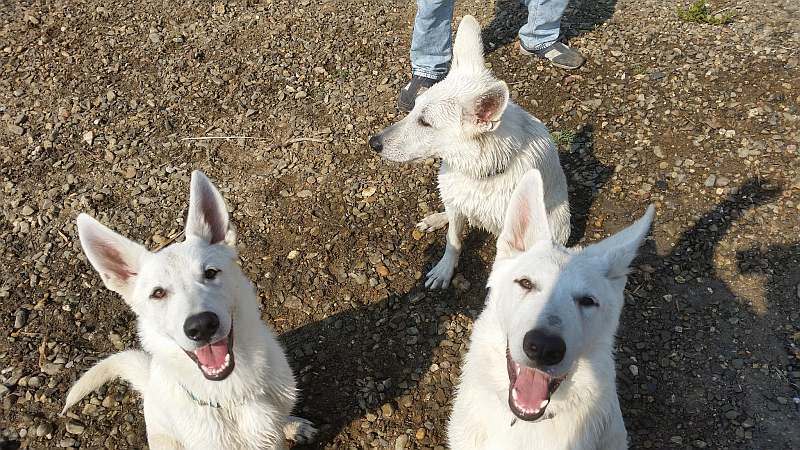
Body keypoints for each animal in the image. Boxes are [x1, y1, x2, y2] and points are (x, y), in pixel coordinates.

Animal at [368, 14, 568, 288]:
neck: (479, 171)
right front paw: (444, 269)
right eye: (414, 108)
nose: (373, 143)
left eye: (425, 122)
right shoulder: (457, 201)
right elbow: (453, 240)